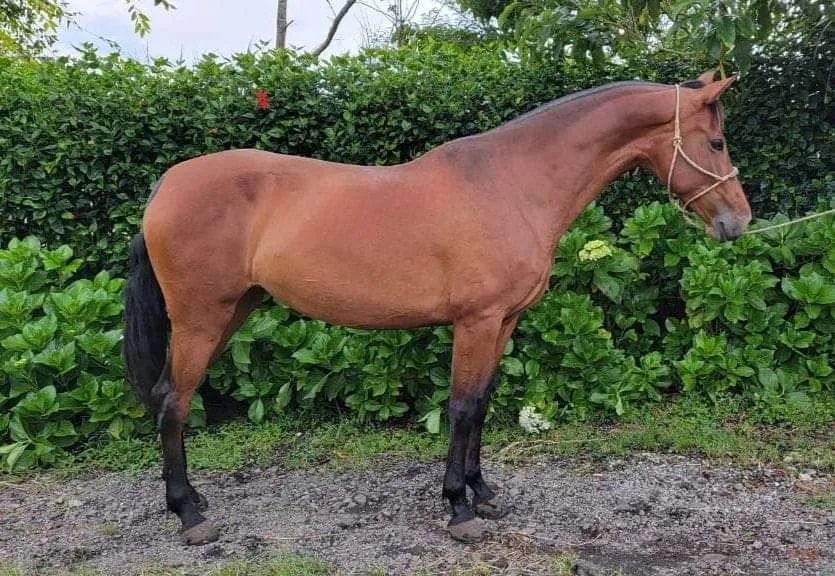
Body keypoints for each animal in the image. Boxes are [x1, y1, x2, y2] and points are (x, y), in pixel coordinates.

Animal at [123, 70, 751, 545]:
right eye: (716, 143)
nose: (738, 222)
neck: (511, 183)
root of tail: (165, 186)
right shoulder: (476, 322)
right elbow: (464, 407)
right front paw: (459, 509)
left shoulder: (504, 322)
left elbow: (484, 404)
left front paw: (483, 493)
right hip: (202, 320)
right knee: (173, 402)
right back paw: (189, 515)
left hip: (231, 313)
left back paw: (193, 500)